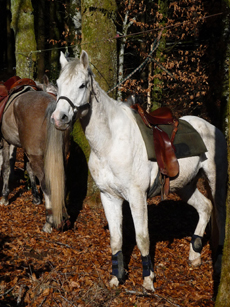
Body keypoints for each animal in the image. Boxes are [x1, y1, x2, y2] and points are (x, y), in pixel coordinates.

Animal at [0, 84, 69, 233]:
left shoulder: (7, 142)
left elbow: (6, 167)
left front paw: (4, 197)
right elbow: (28, 169)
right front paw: (36, 198)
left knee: (46, 184)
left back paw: (49, 222)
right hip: (61, 156)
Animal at [50, 51, 226, 294]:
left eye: (82, 84)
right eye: (58, 84)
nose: (59, 118)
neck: (110, 142)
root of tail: (213, 129)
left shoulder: (137, 196)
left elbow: (143, 238)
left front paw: (148, 281)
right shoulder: (109, 197)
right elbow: (116, 240)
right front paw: (116, 278)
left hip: (215, 180)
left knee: (220, 214)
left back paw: (217, 262)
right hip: (186, 186)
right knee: (205, 207)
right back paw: (195, 254)